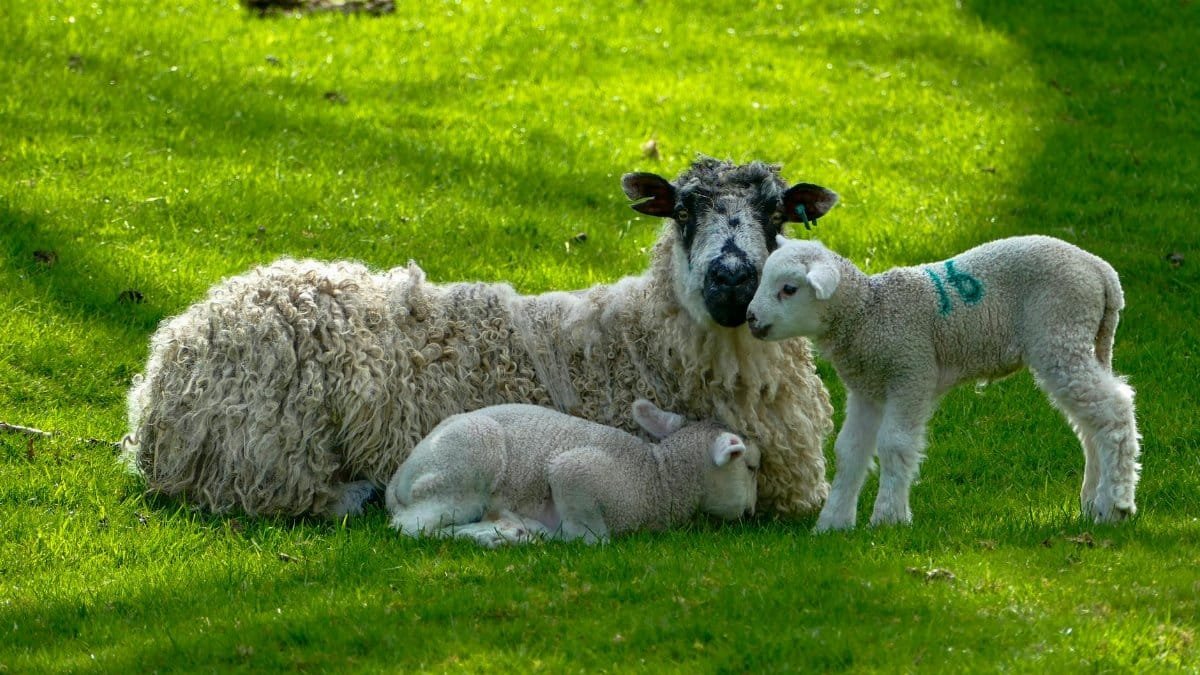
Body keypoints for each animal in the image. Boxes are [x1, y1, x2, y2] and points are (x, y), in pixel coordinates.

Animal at [122, 157, 840, 518]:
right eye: (684, 208)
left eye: (776, 212)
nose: (732, 279)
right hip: (265, 447)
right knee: (278, 492)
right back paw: (354, 496)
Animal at [385, 399, 758, 546]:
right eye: (751, 466)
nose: (751, 513)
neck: (659, 478)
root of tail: (397, 479)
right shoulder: (574, 473)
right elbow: (587, 539)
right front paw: (534, 532)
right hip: (460, 471)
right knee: (412, 527)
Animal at [746, 234, 1141, 531]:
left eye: (789, 289)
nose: (750, 318)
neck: (867, 314)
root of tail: (1102, 273)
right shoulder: (866, 389)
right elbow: (849, 452)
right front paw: (833, 522)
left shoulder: (910, 373)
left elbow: (895, 444)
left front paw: (889, 518)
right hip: (1076, 339)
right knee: (1091, 424)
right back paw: (1093, 502)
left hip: (1060, 329)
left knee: (1115, 410)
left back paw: (1117, 504)